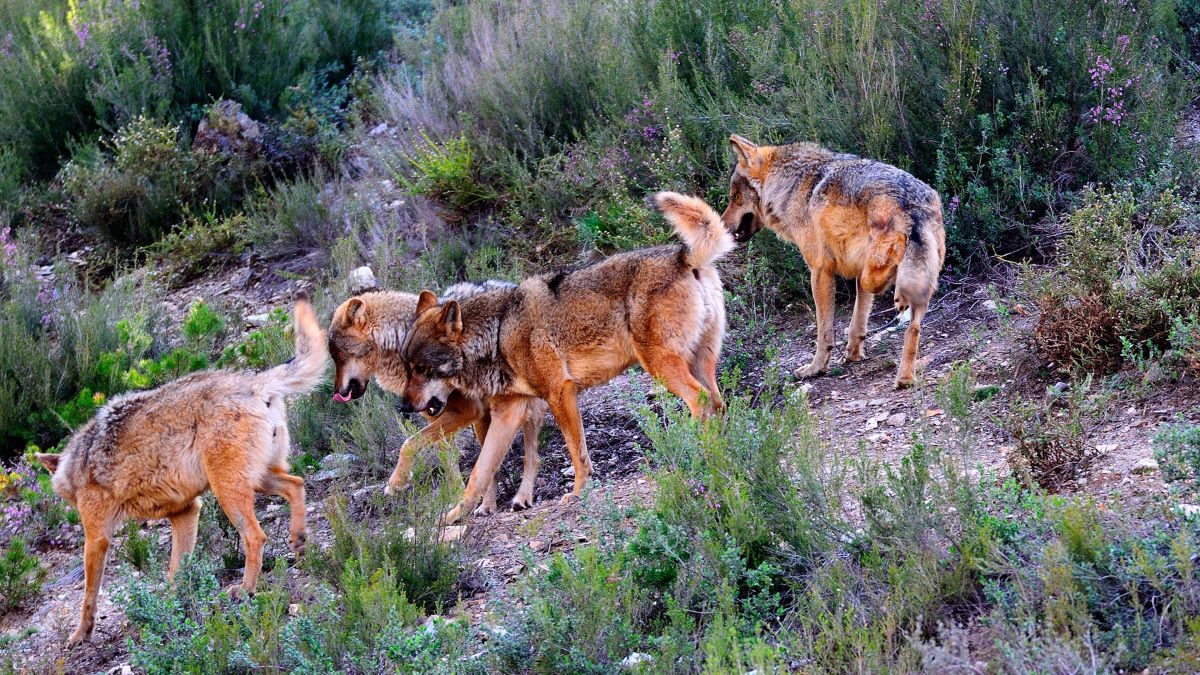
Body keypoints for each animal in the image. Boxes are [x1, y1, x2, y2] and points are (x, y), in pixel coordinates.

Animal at [34, 298, 326, 646]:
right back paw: (299, 542)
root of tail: (255, 382)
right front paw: (171, 609)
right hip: (259, 480)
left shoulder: (97, 535)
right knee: (297, 484)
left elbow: (90, 593)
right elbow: (177, 572)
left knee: (256, 536)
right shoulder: (186, 512)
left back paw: (246, 589)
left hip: (229, 492)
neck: (79, 461)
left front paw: (81, 634)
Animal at [328, 279, 547, 514]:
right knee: (492, 462)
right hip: (484, 419)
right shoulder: (435, 416)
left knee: (531, 456)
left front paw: (396, 483)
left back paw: (522, 498)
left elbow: (409, 443)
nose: (337, 393)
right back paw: (486, 506)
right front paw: (455, 497)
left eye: (339, 356)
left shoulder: (465, 411)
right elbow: (447, 461)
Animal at [396, 191, 732, 523]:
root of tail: (683, 256)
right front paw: (456, 514)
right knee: (718, 404)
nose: (404, 407)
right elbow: (479, 472)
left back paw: (693, 448)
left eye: (422, 369)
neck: (499, 332)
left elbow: (576, 451)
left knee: (700, 402)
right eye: (408, 369)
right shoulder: (508, 412)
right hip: (698, 365)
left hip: (661, 367)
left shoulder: (559, 392)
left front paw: (578, 492)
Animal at [720, 135, 946, 388]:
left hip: (876, 268)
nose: (722, 227)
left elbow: (823, 332)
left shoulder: (820, 272)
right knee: (913, 328)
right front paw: (854, 354)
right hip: (915, 279)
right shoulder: (856, 270)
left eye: (735, 197)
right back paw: (905, 378)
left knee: (884, 281)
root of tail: (912, 202)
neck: (789, 184)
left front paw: (815, 368)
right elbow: (858, 322)